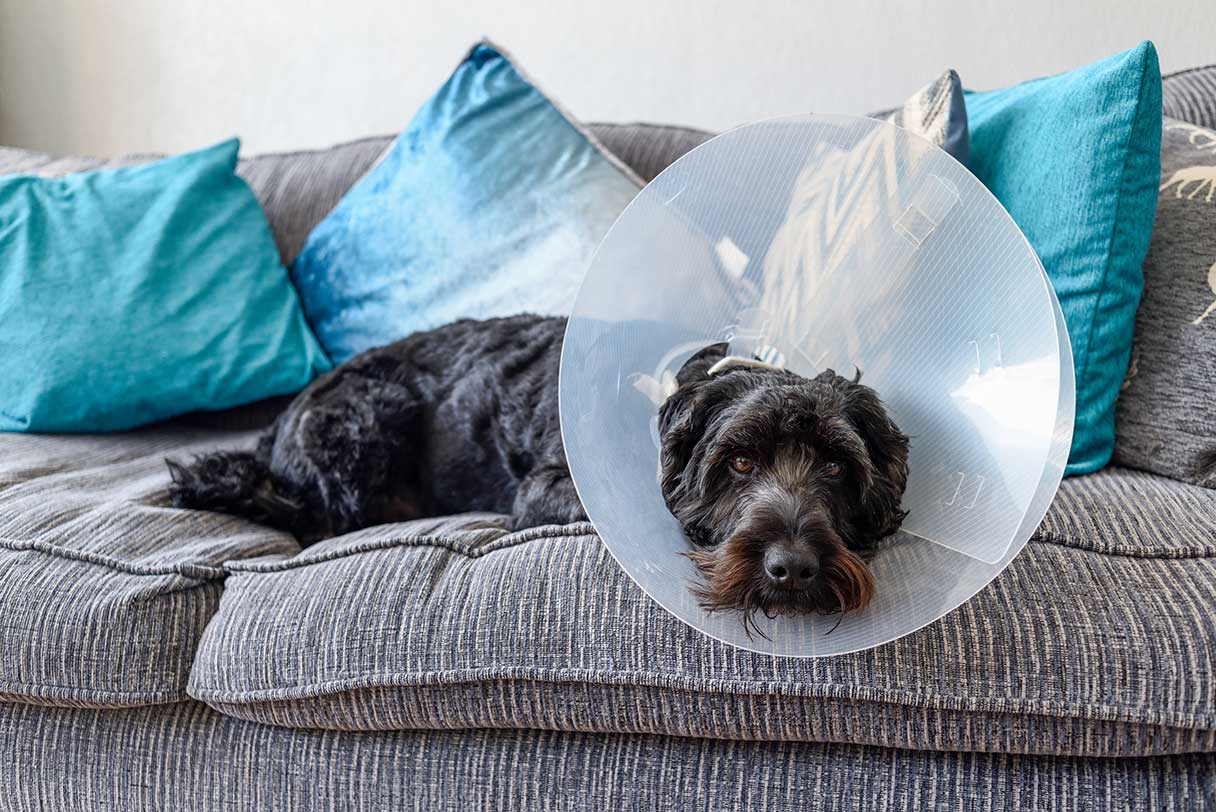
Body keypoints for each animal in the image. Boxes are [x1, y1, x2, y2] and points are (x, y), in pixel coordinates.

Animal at [166, 313, 904, 617]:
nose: (792, 568)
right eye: (741, 462)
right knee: (316, 518)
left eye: (836, 468)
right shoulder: (549, 486)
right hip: (364, 422)